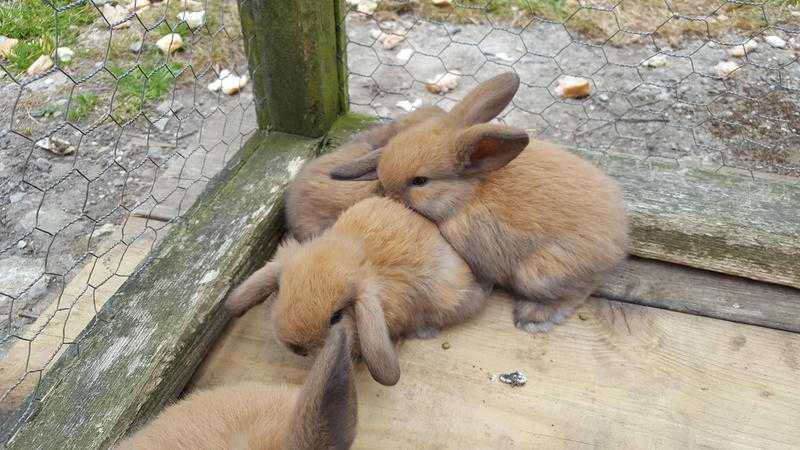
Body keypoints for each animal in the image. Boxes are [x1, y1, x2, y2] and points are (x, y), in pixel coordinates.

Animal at [328, 72, 628, 334]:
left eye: (420, 181)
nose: (385, 192)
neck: (468, 193)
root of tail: (616, 244)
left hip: (539, 273)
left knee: (576, 293)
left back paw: (533, 317)